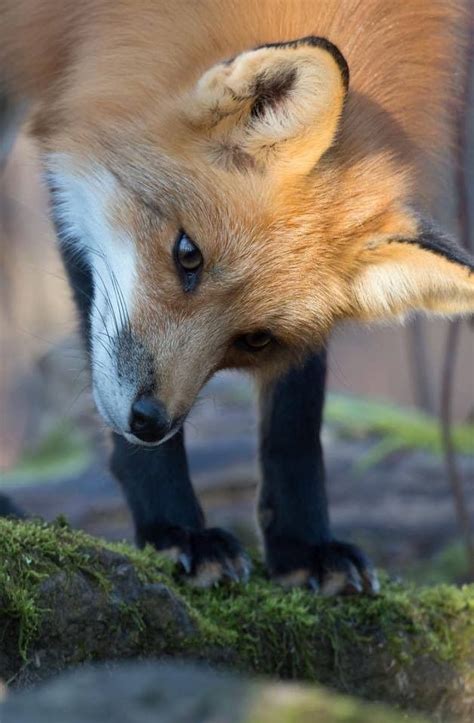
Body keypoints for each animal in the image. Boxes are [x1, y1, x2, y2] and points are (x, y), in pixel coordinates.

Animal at [0, 0, 474, 592]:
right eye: (188, 255)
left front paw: (304, 545)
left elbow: (297, 413)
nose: (150, 423)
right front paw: (176, 529)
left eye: (255, 339)